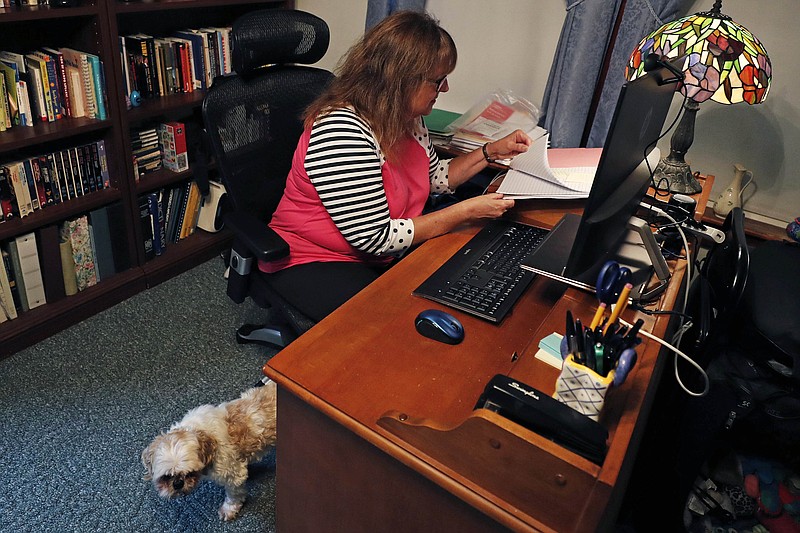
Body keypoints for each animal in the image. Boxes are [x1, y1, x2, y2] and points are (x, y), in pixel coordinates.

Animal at [143, 380, 278, 520]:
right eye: (166, 477)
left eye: (190, 473)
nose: (178, 483)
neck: (202, 433)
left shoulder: (233, 474)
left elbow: (234, 496)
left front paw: (229, 509)